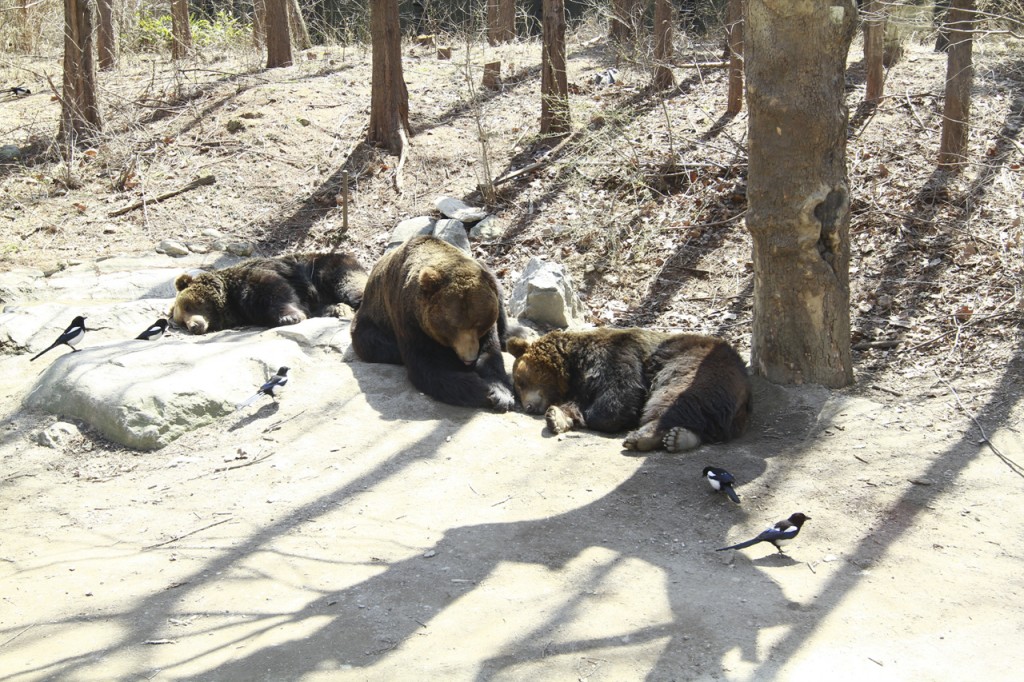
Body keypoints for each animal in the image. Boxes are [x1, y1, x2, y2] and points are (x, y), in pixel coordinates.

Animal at [171, 250, 368, 333]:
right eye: (181, 322)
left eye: (188, 306)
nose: (193, 326)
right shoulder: (247, 311)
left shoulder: (254, 278)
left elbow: (276, 292)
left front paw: (290, 317)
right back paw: (337, 310)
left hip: (328, 269)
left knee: (349, 284)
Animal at [352, 235, 516, 409]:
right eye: (453, 326)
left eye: (478, 324)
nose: (469, 358)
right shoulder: (409, 320)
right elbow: (428, 365)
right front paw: (482, 389)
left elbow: (490, 352)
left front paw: (500, 393)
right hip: (373, 320)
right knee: (374, 343)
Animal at [507, 327, 749, 450]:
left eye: (520, 382)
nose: (528, 406)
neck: (574, 363)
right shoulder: (582, 384)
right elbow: (577, 402)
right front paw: (557, 417)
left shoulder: (618, 354)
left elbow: (619, 396)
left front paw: (596, 417)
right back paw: (682, 437)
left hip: (693, 367)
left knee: (673, 398)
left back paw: (645, 437)